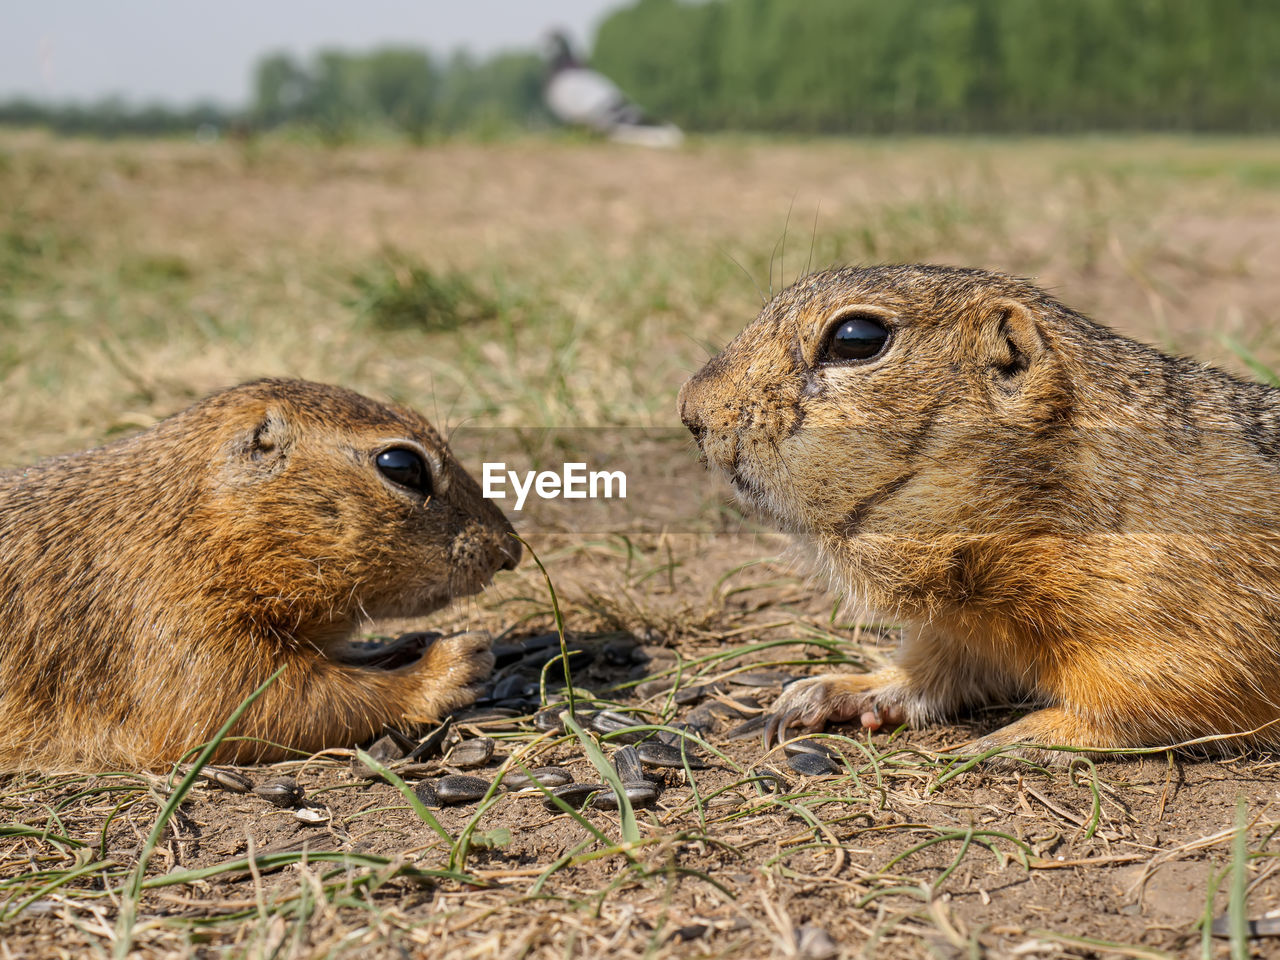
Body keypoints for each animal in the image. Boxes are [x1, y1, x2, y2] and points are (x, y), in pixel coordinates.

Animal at [1, 378, 519, 773]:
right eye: (402, 466)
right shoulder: (178, 632)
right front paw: (450, 666)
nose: (510, 551)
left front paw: (407, 646)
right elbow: (268, 705)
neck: (194, 523)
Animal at [686, 267, 1280, 762]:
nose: (689, 409)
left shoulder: (1167, 624)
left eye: (856, 338)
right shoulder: (967, 630)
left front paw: (1010, 739)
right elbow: (934, 672)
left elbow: (1157, 706)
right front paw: (829, 691)